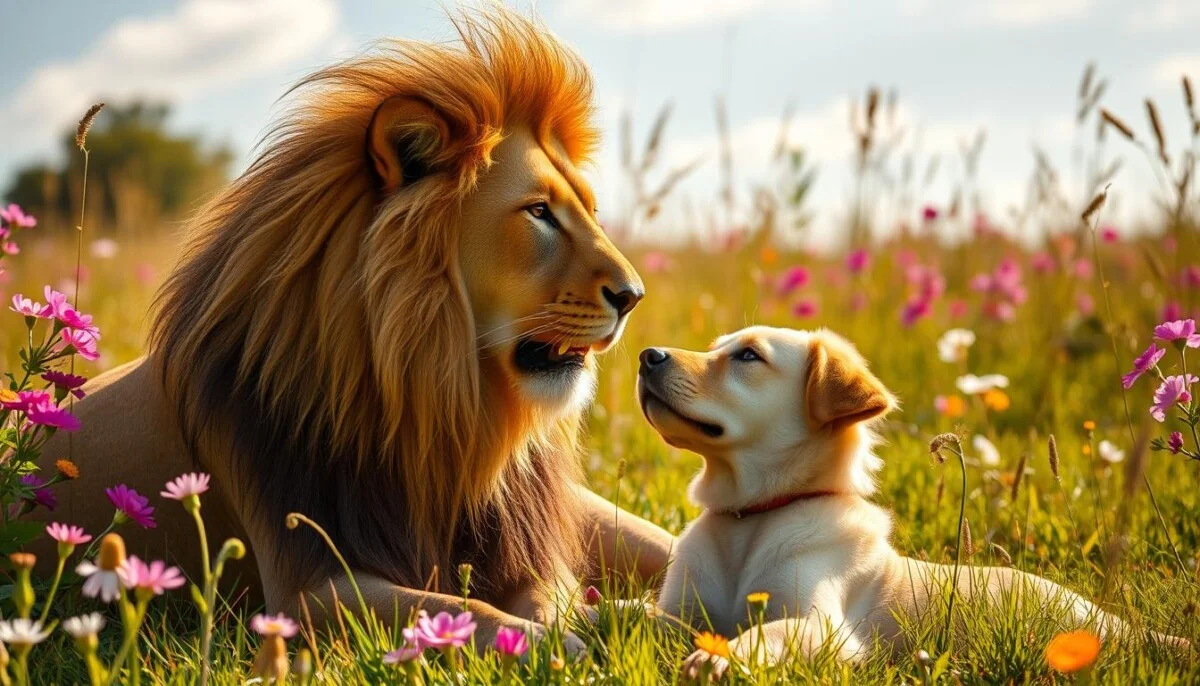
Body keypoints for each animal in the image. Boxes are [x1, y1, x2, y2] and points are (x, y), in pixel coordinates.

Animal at [37, 8, 674, 645]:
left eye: (589, 211)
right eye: (539, 212)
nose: (634, 296)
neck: (437, 414)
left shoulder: (524, 546)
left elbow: (548, 598)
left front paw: (606, 626)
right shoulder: (304, 588)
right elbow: (468, 610)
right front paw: (565, 644)